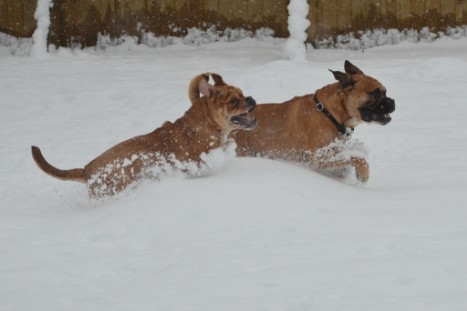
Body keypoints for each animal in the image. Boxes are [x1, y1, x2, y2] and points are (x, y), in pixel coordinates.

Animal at [232, 61, 396, 183]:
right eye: (375, 93)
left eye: (385, 91)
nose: (393, 102)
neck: (330, 113)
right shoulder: (319, 156)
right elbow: (355, 156)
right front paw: (363, 172)